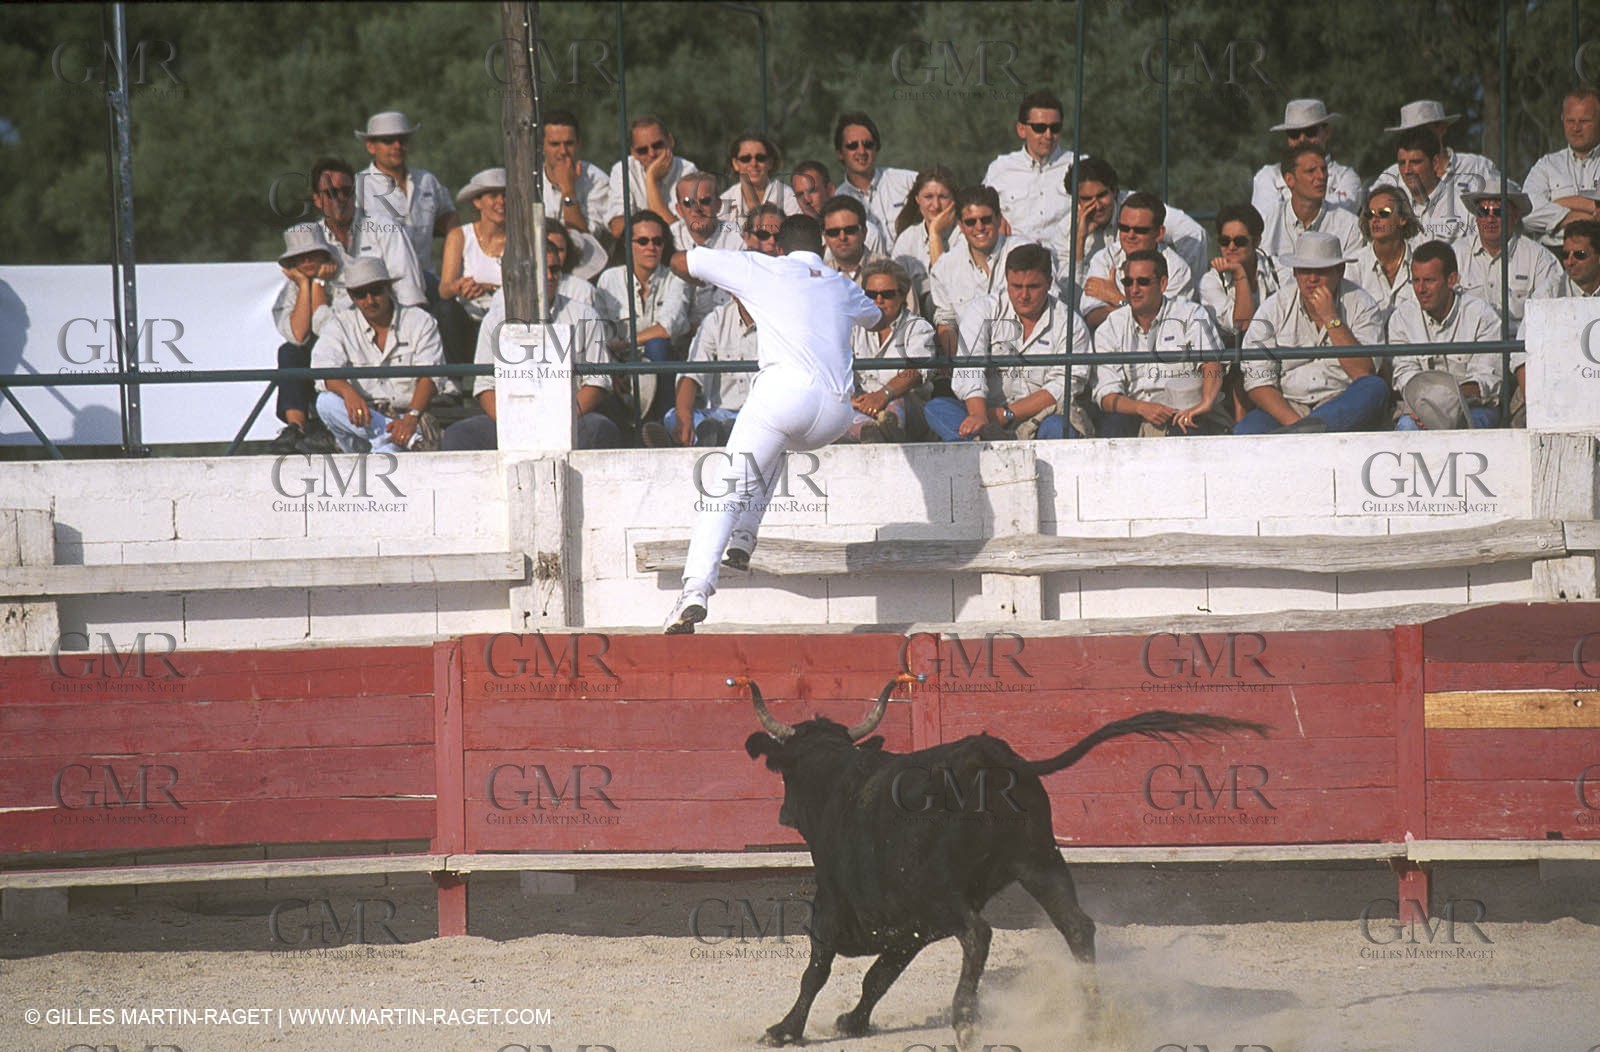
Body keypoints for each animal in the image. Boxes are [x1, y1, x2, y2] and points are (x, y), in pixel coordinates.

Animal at [735, 672, 1271, 1050]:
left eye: (785, 774)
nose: (783, 814)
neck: (837, 778)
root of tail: (994, 761)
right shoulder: (912, 925)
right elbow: (880, 974)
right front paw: (853, 1020)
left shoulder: (838, 906)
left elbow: (819, 970)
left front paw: (785, 1029)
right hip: (1040, 862)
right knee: (1077, 927)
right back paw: (1092, 1018)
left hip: (945, 890)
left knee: (979, 933)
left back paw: (966, 1023)